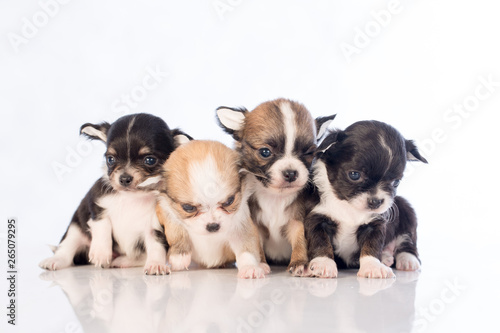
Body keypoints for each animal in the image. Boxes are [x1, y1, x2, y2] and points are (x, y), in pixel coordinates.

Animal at [157, 139, 270, 278]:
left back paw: (262, 265)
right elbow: (176, 228)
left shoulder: (241, 226)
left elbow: (246, 249)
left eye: (229, 201)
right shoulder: (165, 210)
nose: (213, 226)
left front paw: (250, 267)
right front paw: (180, 255)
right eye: (188, 207)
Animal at [214, 98, 332, 274]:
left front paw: (299, 262)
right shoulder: (255, 225)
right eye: (265, 152)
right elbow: (257, 244)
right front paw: (260, 264)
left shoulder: (297, 221)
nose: (291, 173)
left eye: (308, 153)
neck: (275, 197)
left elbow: (300, 240)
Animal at [302, 120, 428, 278]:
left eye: (396, 182)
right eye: (354, 175)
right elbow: (320, 242)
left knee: (407, 241)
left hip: (406, 209)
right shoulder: (316, 219)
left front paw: (373, 266)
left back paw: (407, 260)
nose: (376, 201)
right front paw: (324, 264)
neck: (348, 205)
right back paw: (386, 257)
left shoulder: (375, 224)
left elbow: (371, 246)